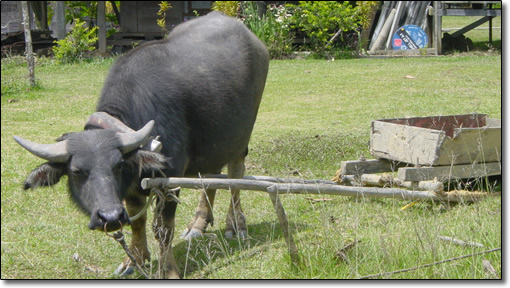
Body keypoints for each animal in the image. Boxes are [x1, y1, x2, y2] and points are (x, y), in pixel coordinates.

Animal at [13, 11, 270, 280]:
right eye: (75, 172)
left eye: (117, 166)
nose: (110, 216)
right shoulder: (132, 190)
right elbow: (138, 222)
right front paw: (134, 260)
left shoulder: (170, 181)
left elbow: (163, 228)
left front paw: (168, 270)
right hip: (215, 143)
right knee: (210, 176)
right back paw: (198, 225)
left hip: (241, 137)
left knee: (235, 177)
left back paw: (236, 225)